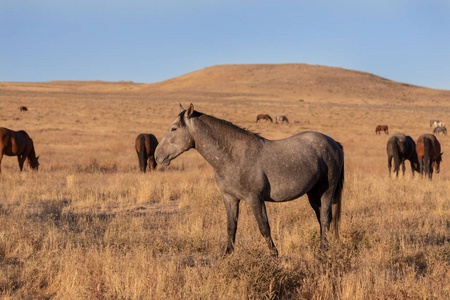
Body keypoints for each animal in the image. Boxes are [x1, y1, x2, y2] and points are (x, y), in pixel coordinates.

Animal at [155, 103, 344, 255]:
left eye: (174, 129)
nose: (158, 156)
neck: (233, 156)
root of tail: (334, 142)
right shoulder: (230, 198)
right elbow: (231, 227)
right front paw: (227, 255)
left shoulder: (255, 199)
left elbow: (264, 227)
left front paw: (274, 255)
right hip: (313, 195)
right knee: (321, 220)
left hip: (327, 191)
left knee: (325, 220)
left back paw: (323, 251)